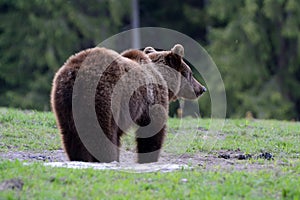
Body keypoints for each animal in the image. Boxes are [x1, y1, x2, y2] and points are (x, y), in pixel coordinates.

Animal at [51, 44, 206, 163]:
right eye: (190, 73)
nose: (202, 88)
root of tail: (77, 73)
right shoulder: (152, 99)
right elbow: (153, 131)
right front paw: (148, 158)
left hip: (64, 101)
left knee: (71, 135)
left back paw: (79, 159)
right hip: (104, 97)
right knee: (102, 134)